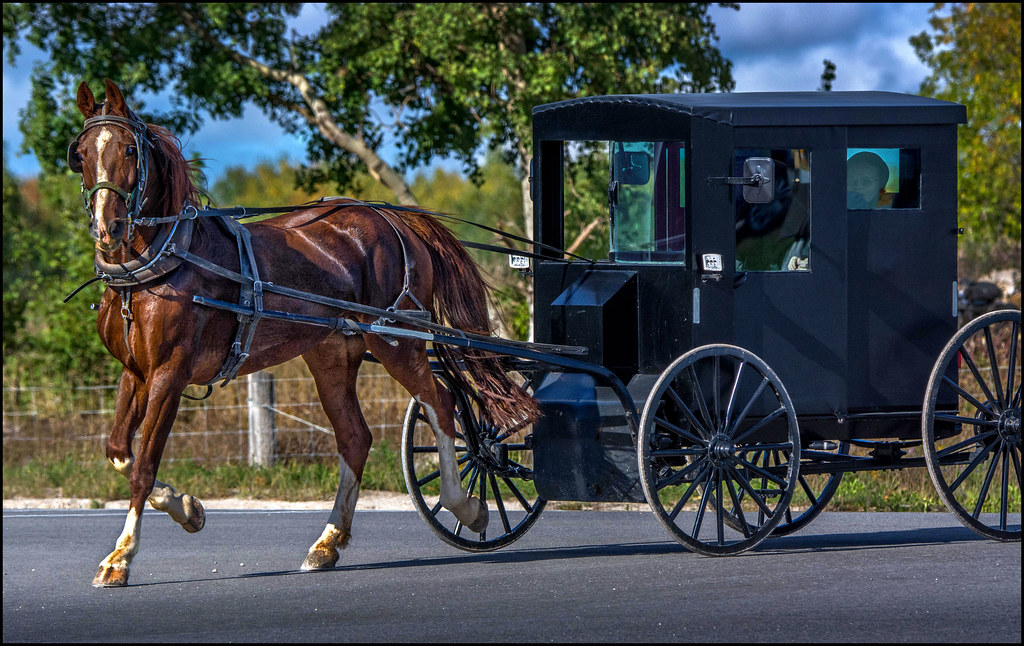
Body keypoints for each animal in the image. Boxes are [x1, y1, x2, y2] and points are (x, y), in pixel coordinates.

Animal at [71, 79, 536, 585]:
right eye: (81, 153)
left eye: (129, 149)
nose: (108, 227)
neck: (160, 263)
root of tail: (394, 218)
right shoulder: (136, 372)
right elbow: (119, 450)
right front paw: (187, 508)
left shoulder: (168, 375)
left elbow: (143, 466)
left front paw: (121, 557)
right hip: (332, 354)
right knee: (356, 438)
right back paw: (327, 543)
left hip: (397, 340)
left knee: (440, 404)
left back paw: (465, 506)